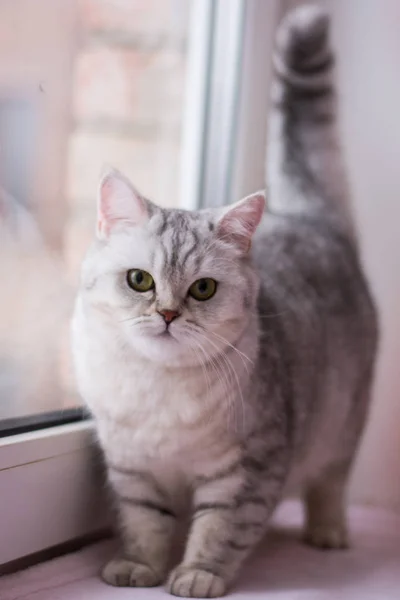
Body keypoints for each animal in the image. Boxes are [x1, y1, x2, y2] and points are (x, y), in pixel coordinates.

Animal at [72, 5, 378, 600]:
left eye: (203, 289)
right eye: (140, 281)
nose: (168, 314)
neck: (159, 390)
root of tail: (308, 218)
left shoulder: (249, 469)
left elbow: (220, 529)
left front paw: (197, 575)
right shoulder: (132, 468)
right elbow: (144, 523)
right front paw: (140, 568)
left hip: (345, 423)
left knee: (331, 482)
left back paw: (328, 531)